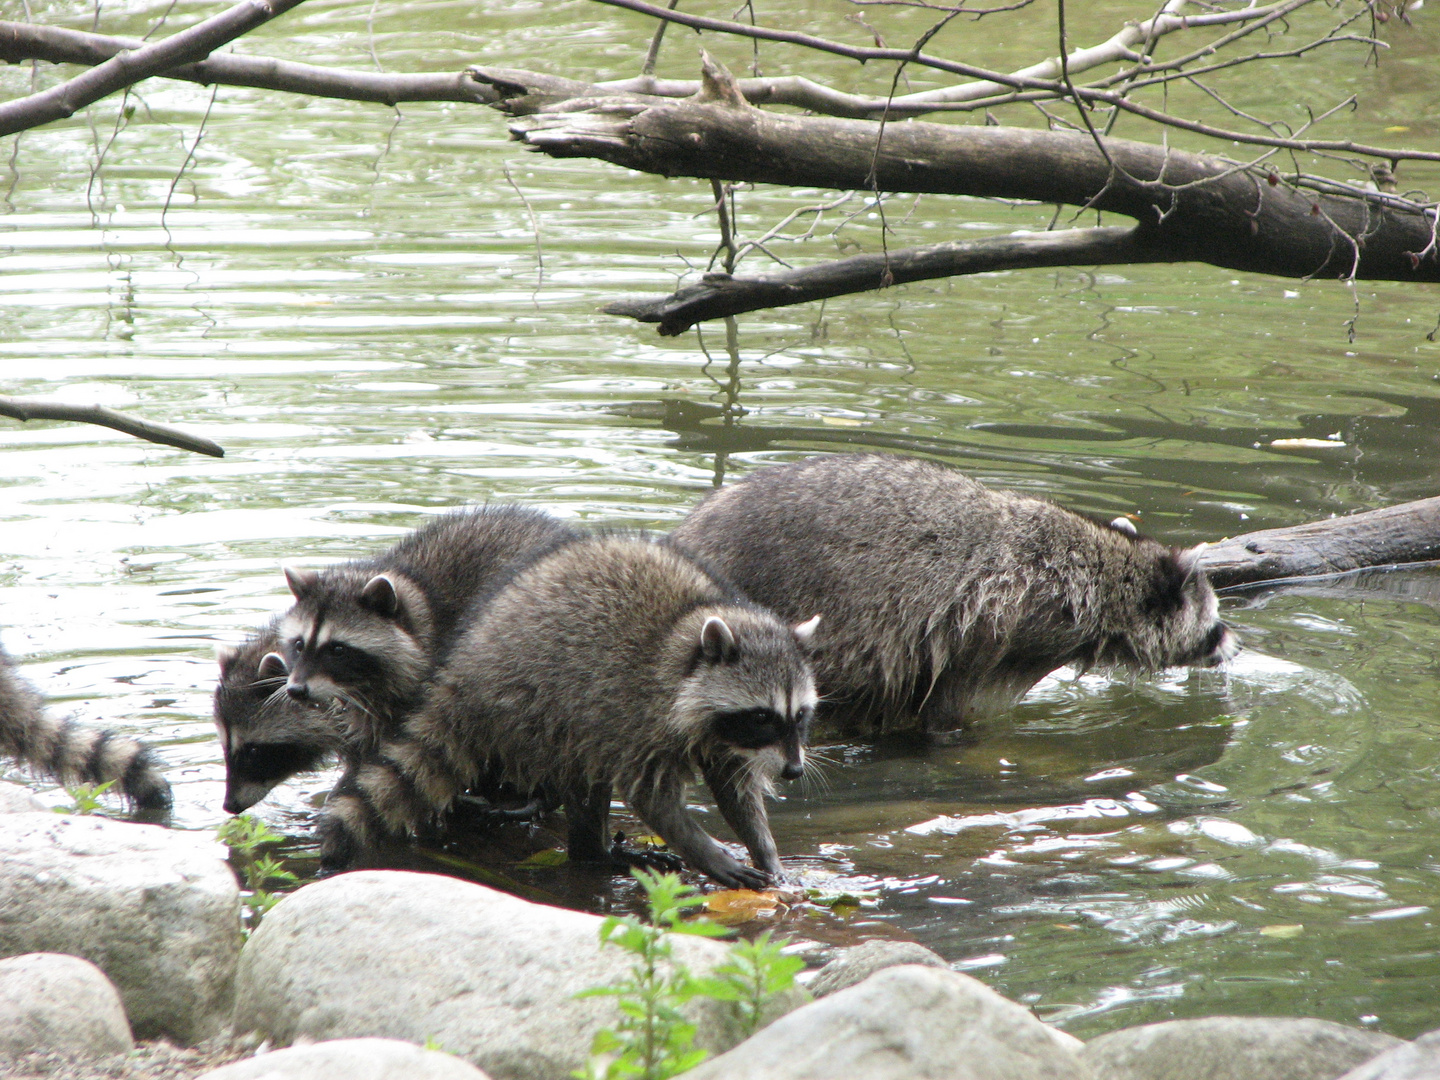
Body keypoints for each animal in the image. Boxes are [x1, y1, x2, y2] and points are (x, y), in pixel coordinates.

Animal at [325, 532, 823, 887]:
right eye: (762, 717)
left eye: (799, 716)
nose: (794, 771)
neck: (686, 636)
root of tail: (465, 662)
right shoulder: (640, 713)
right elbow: (653, 799)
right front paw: (707, 851)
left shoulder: (725, 737)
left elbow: (736, 790)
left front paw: (765, 850)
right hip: (541, 704)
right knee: (581, 770)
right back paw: (594, 854)